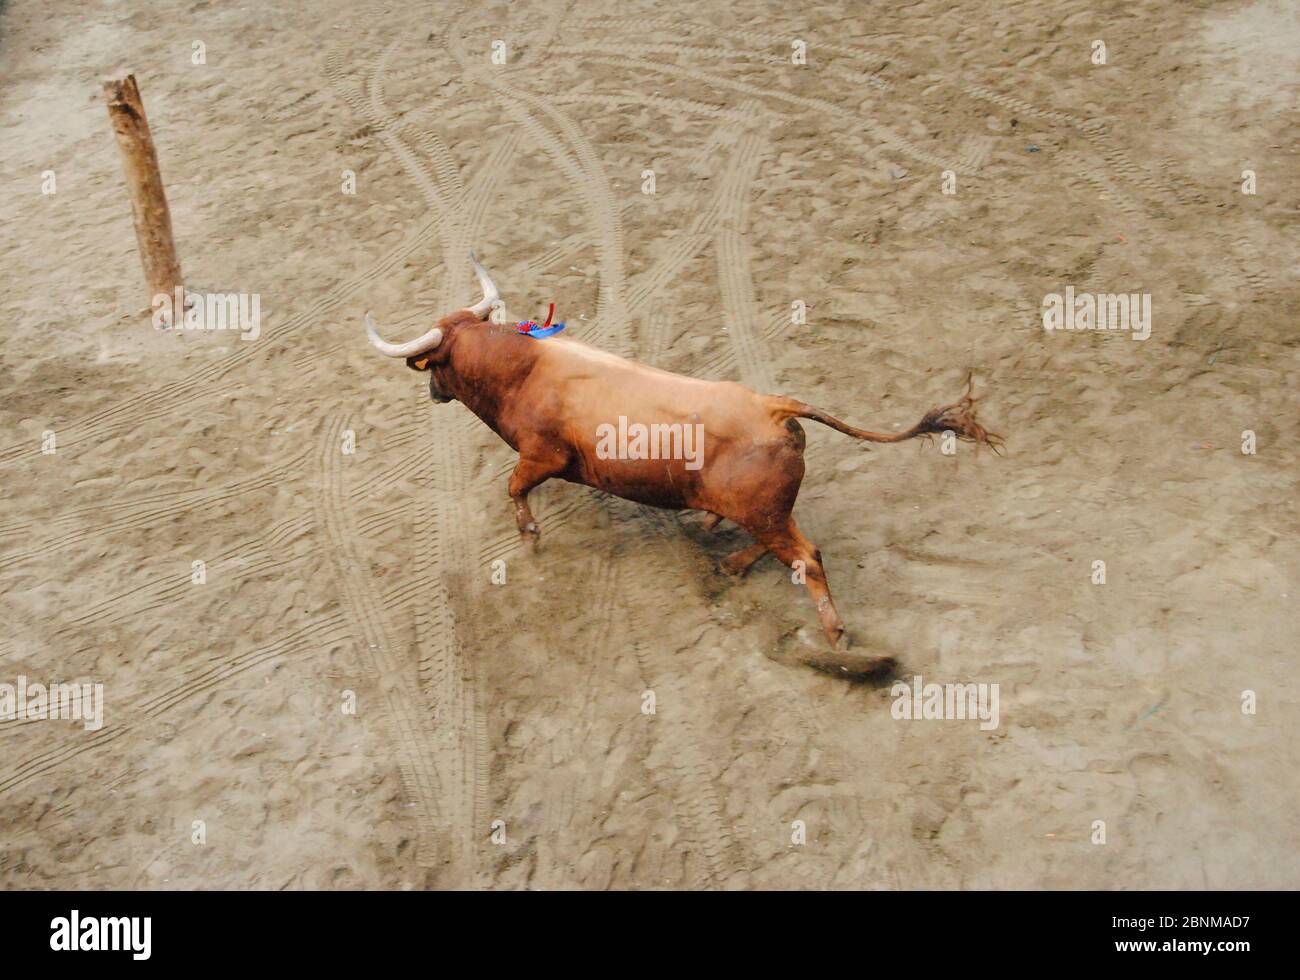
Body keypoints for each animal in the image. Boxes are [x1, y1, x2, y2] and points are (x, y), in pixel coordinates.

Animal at [369, 252, 1003, 665]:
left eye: (436, 365)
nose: (431, 392)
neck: (524, 370)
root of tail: (773, 406)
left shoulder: (541, 455)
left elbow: (514, 489)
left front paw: (529, 535)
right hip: (768, 512)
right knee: (789, 546)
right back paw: (724, 552)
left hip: (767, 514)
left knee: (807, 559)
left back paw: (837, 640)